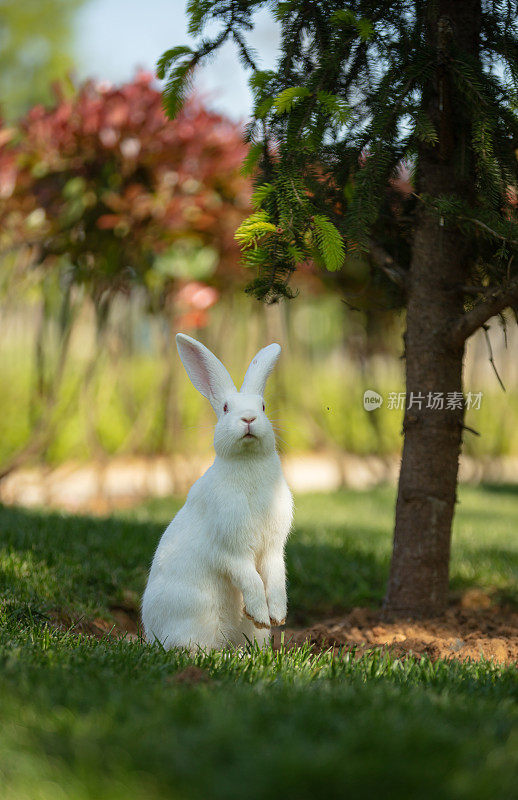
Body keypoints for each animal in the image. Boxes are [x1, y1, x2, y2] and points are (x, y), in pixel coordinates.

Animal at [142, 332, 294, 648]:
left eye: (263, 406)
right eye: (225, 408)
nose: (248, 418)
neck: (247, 463)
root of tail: (150, 634)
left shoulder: (273, 548)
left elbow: (275, 578)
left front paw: (276, 617)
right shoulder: (231, 549)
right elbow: (250, 578)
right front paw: (260, 613)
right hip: (197, 617)